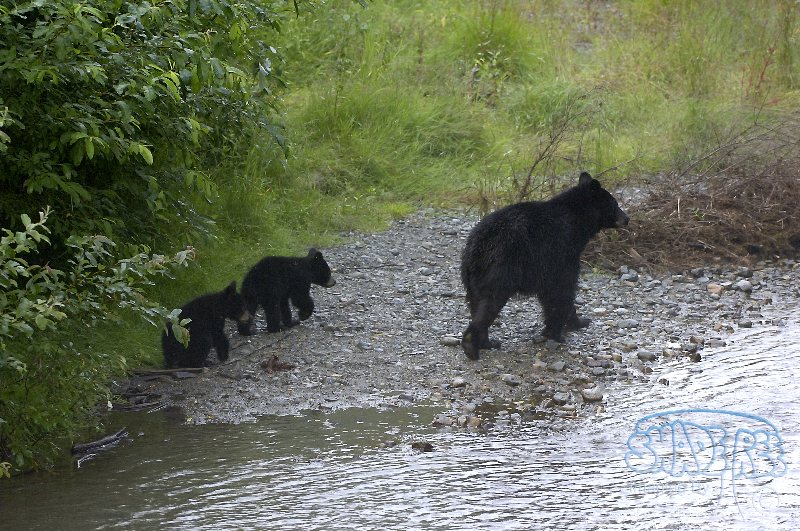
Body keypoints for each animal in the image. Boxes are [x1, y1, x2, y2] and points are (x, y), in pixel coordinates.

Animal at [460, 171, 629, 360]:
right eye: (615, 204)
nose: (627, 219)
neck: (576, 222)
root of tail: (478, 246)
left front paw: (572, 323)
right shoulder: (561, 253)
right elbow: (562, 291)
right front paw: (560, 331)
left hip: (471, 276)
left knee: (476, 303)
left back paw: (487, 343)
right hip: (501, 268)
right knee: (489, 302)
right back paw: (471, 345)